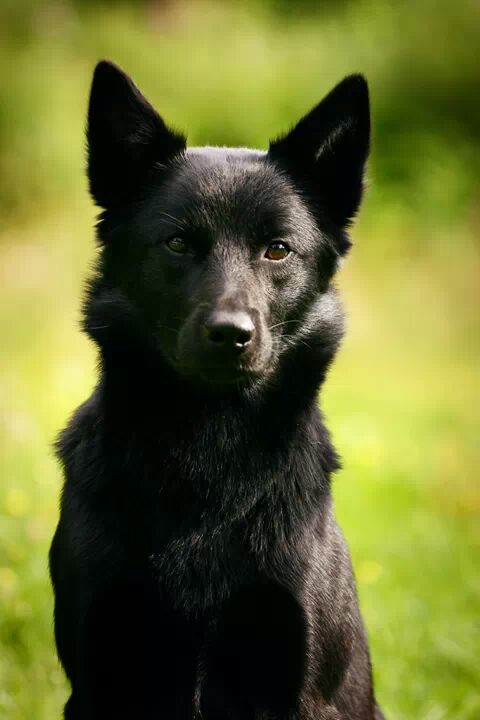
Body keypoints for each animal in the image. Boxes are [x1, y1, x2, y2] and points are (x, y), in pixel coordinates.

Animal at [50, 60, 385, 719]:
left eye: (277, 249)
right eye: (178, 243)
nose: (231, 335)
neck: (210, 452)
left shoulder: (301, 681)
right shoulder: (98, 672)